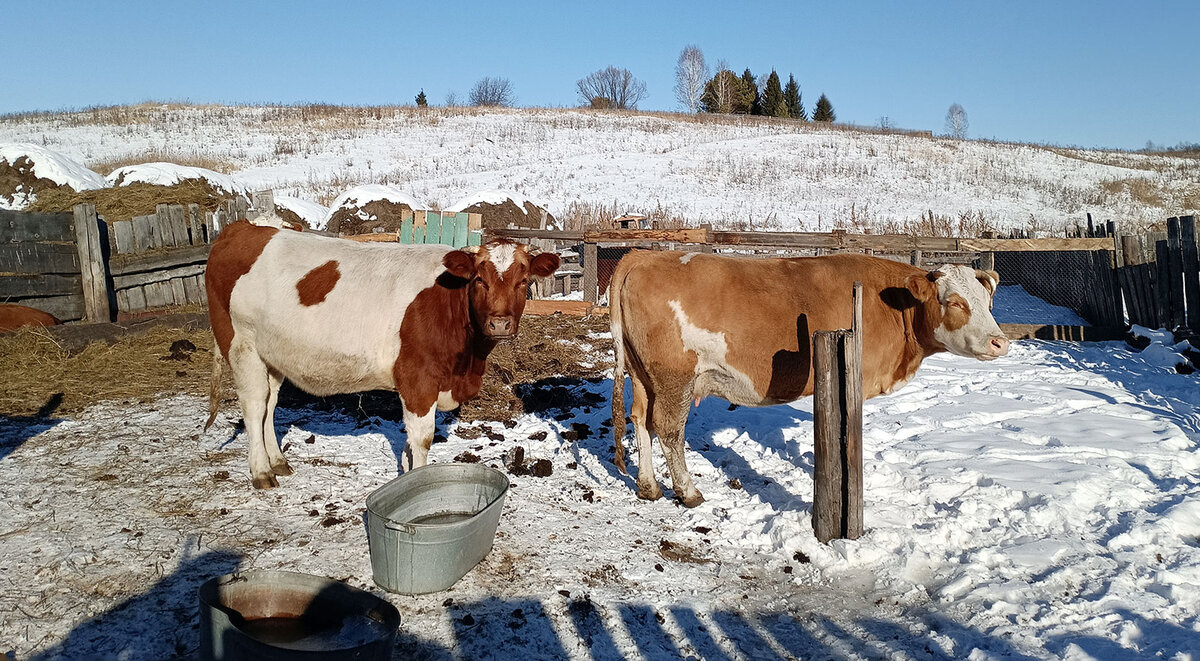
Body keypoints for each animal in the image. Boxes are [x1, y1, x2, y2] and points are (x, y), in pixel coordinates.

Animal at [204, 220, 559, 487]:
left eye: (523, 280)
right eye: (480, 280)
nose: (499, 323)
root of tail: (243, 227)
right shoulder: (417, 379)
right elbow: (422, 439)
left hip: (273, 353)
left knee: (269, 402)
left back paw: (278, 461)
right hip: (240, 343)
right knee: (253, 405)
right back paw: (262, 471)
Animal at [609, 251, 1012, 506]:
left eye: (987, 302)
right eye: (955, 302)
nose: (1001, 341)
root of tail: (644, 255)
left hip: (643, 375)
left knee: (640, 420)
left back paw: (648, 487)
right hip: (674, 376)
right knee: (668, 428)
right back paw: (687, 492)